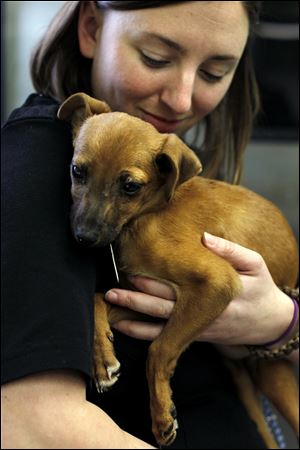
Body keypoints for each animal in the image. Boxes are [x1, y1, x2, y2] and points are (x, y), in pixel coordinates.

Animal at [57, 93, 298, 448]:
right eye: (77, 170)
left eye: (130, 186)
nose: (83, 238)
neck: (143, 218)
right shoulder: (145, 297)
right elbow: (98, 299)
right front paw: (102, 359)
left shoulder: (215, 283)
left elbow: (159, 349)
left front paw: (161, 416)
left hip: (274, 375)